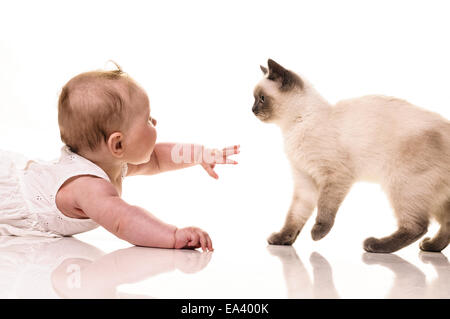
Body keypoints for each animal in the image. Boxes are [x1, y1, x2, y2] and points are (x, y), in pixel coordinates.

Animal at [253, 60, 450, 254]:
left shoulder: (334, 175)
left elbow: (324, 207)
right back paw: (431, 247)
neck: (293, 126)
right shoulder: (305, 181)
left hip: (402, 186)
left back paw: (376, 245)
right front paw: (283, 239)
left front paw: (317, 234)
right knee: (444, 224)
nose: (252, 109)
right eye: (254, 98)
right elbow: (294, 216)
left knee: (417, 226)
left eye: (261, 98)